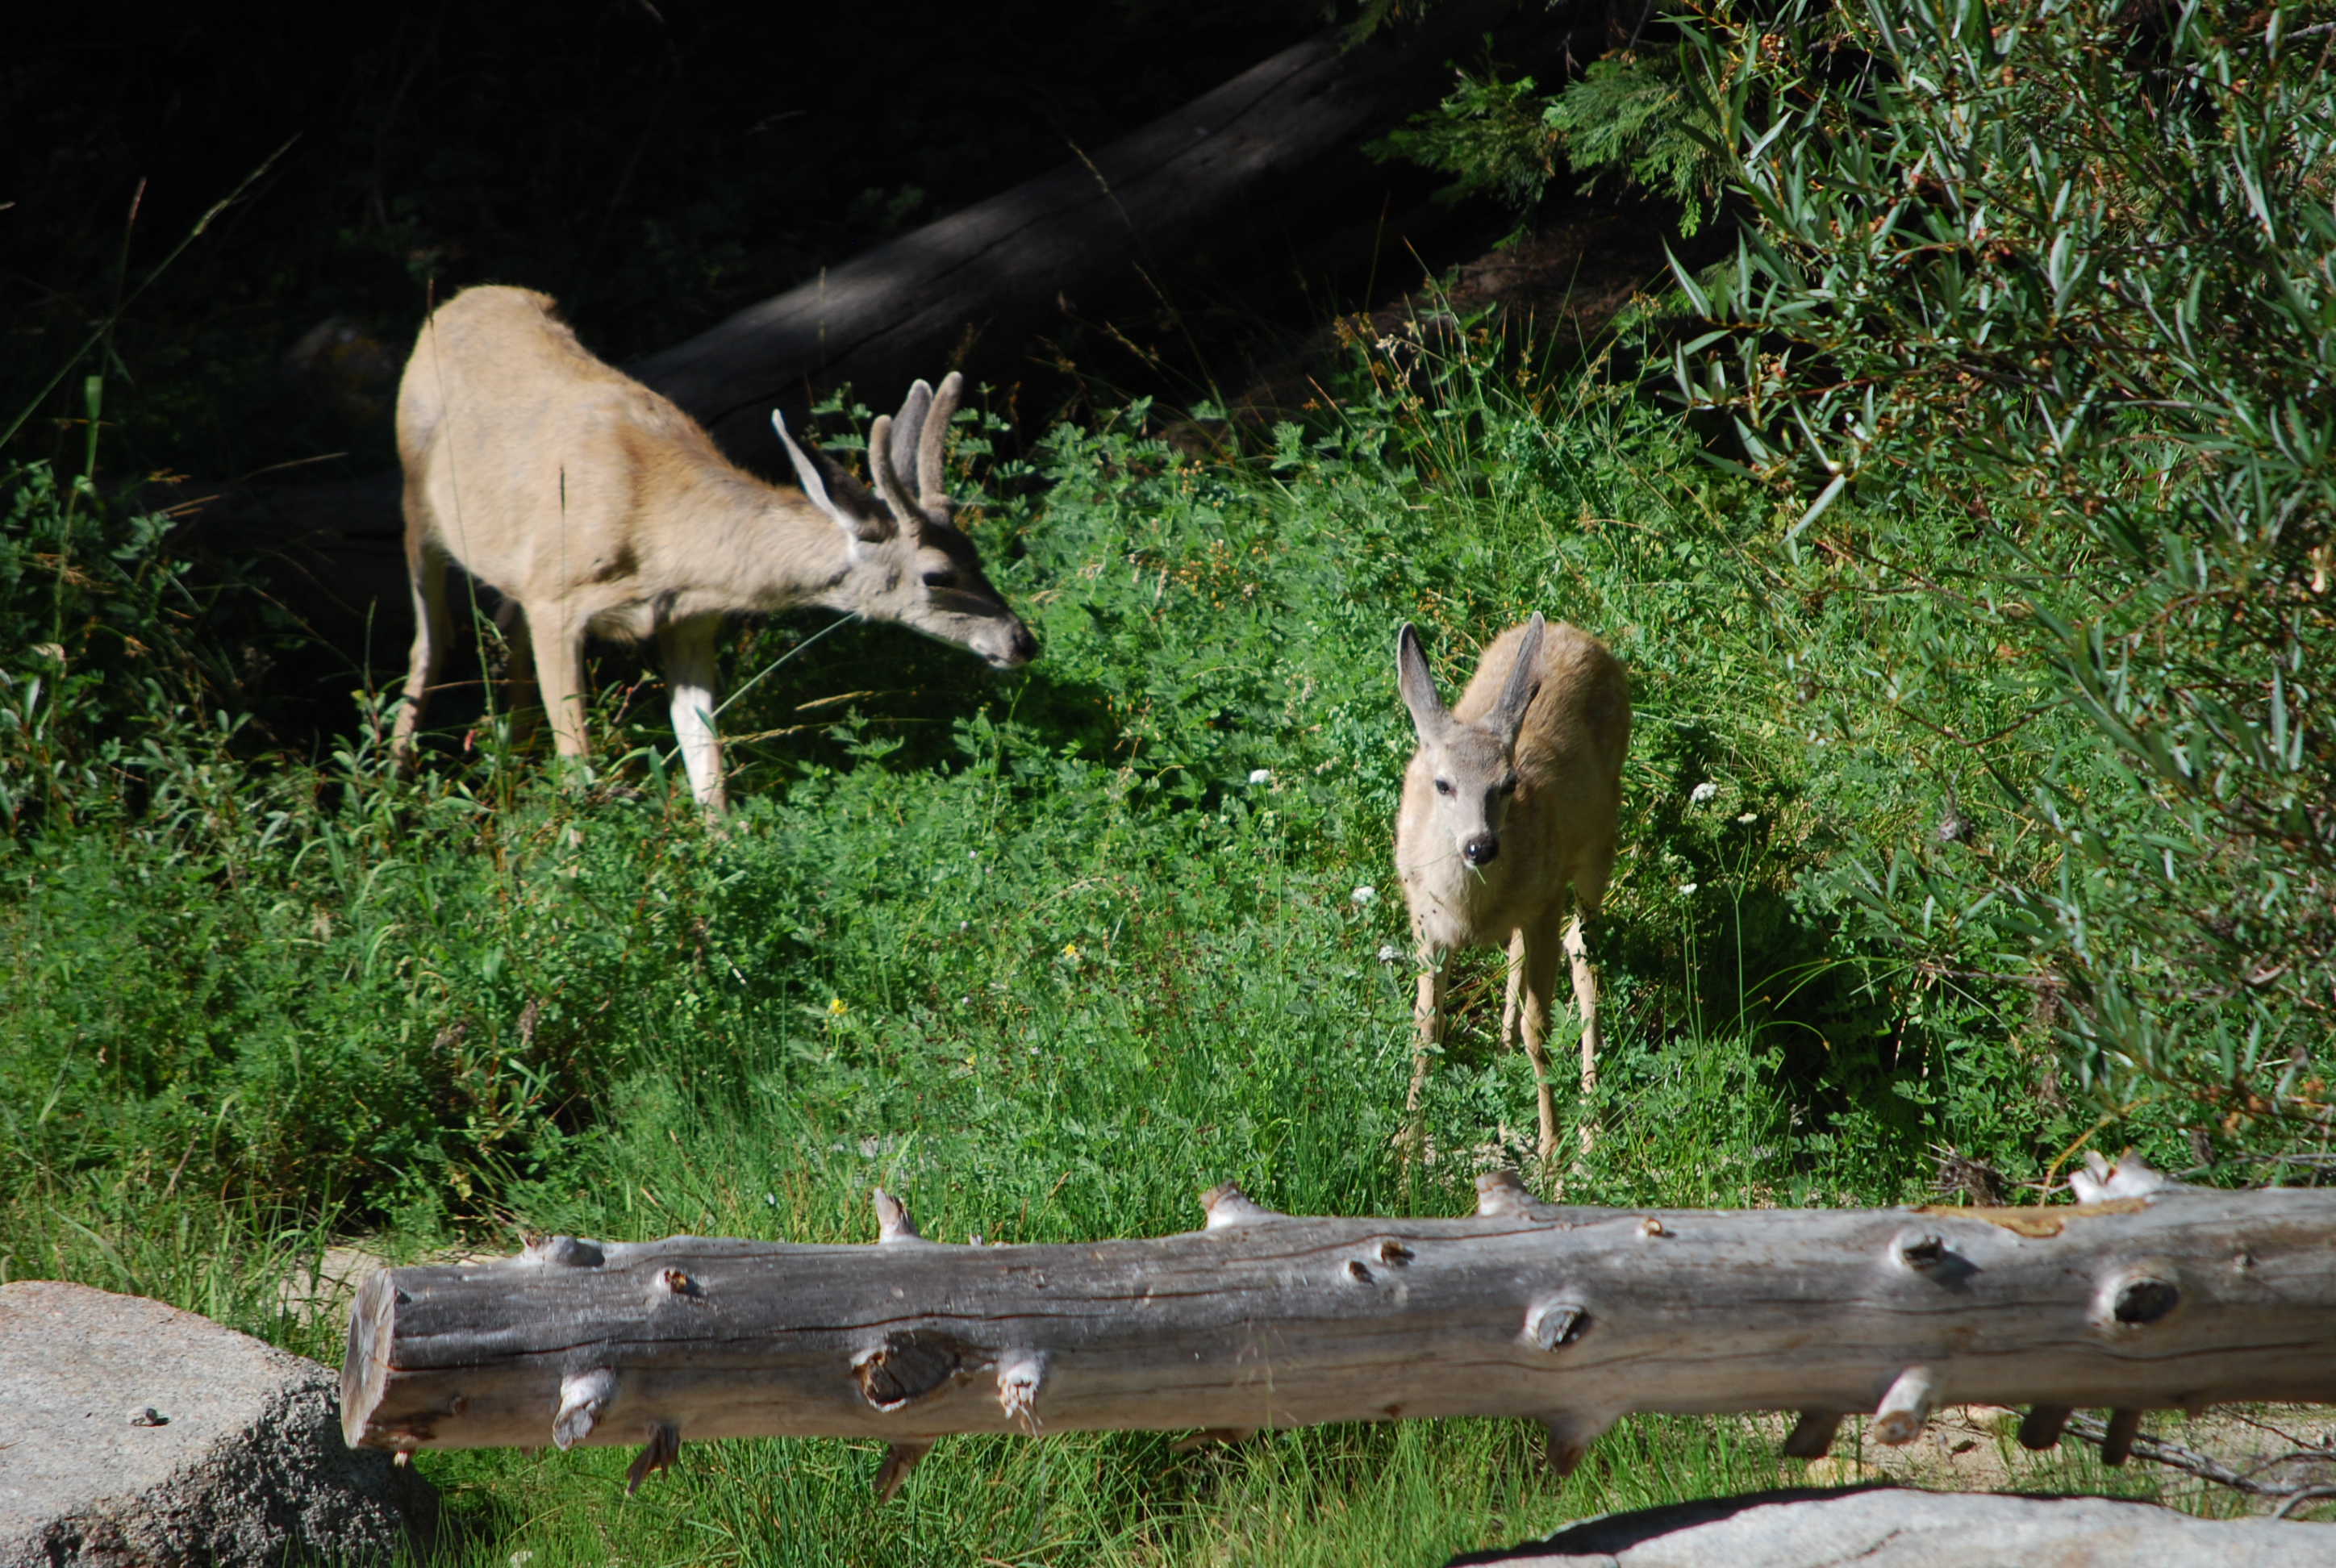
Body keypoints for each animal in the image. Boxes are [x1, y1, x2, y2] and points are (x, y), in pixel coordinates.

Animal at [387, 286, 1037, 818]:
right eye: (938, 575)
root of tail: (458, 300)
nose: (1023, 642)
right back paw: (391, 789)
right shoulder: (557, 597)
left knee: (502, 623)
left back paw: (515, 757)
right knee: (431, 637)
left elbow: (703, 751)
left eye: (975, 551)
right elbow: (580, 761)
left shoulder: (691, 619)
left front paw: (722, 854)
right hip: (416, 499)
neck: (659, 536)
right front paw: (571, 869)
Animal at [1392, 621, 1635, 1173]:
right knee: (1519, 958)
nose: (1480, 846)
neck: (1470, 911)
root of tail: (1579, 634)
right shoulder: (1424, 922)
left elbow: (1538, 1029)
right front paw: (1406, 1157)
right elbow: (1426, 1029)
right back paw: (1504, 1071)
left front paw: (1551, 1162)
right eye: (1443, 784)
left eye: (1507, 783)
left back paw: (1590, 1129)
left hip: (1599, 841)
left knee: (1581, 953)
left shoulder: (1544, 900)